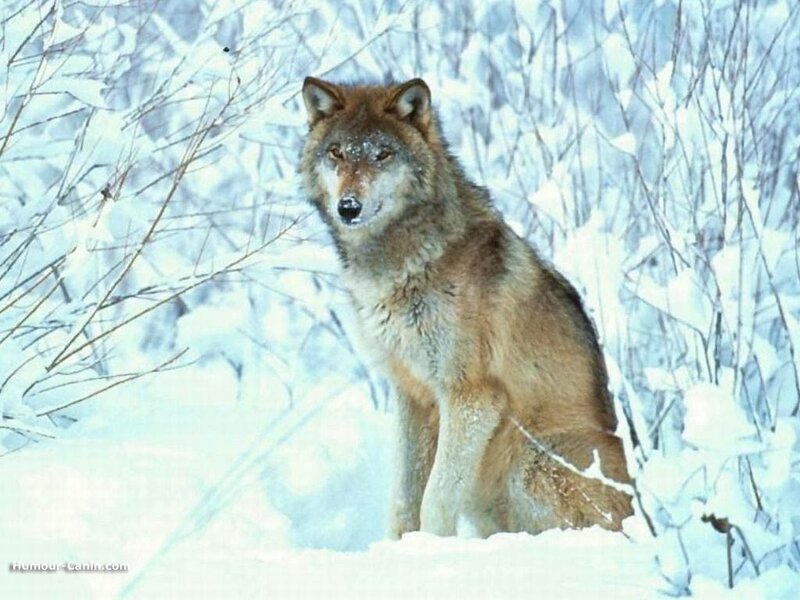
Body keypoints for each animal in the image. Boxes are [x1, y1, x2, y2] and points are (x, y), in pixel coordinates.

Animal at [300, 76, 633, 538]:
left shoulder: (471, 396)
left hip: (533, 461)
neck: (406, 262)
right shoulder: (412, 394)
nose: (349, 207)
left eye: (383, 155)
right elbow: (404, 501)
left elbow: (434, 500)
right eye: (338, 153)